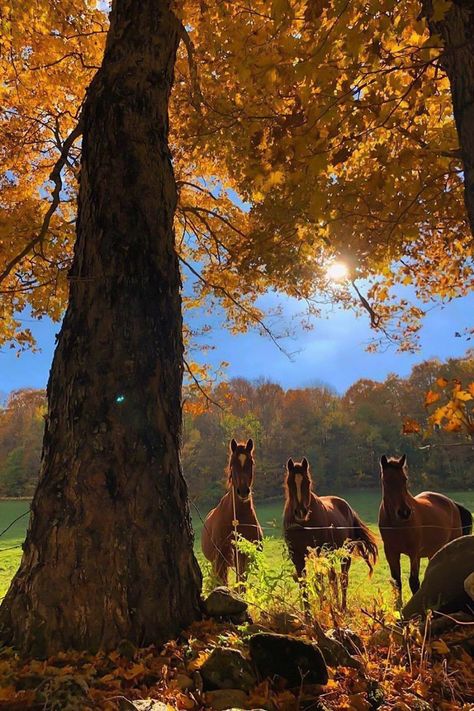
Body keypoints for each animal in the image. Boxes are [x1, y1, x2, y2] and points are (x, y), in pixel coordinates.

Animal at [199, 440, 262, 584]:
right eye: (232, 463)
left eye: (251, 462)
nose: (243, 491)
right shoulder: (221, 559)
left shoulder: (243, 557)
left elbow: (241, 585)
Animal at [284, 458, 376, 608]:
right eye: (289, 482)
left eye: (308, 482)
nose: (301, 512)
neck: (304, 525)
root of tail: (349, 509)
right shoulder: (297, 556)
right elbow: (305, 583)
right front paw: (308, 612)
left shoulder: (320, 552)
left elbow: (321, 581)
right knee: (333, 577)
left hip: (343, 553)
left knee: (342, 578)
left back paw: (342, 607)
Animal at [378, 456, 470, 608]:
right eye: (386, 480)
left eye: (405, 479)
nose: (404, 512)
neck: (397, 524)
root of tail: (452, 503)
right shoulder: (391, 552)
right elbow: (397, 581)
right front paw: (398, 608)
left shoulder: (414, 553)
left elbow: (414, 581)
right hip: (433, 552)